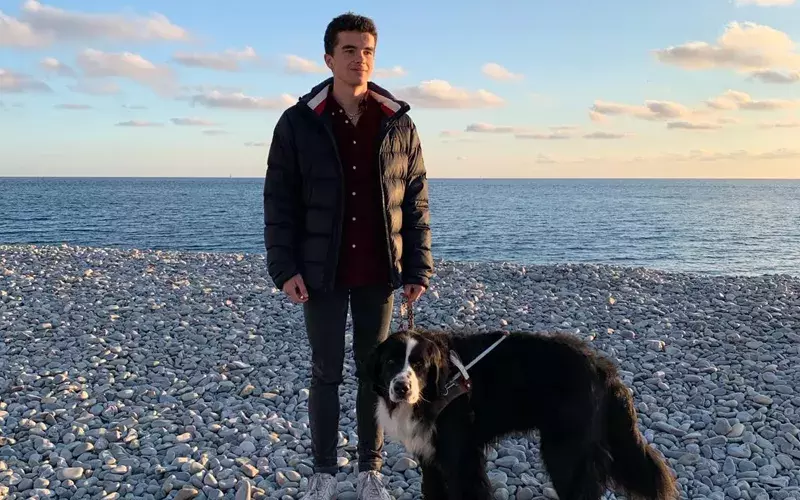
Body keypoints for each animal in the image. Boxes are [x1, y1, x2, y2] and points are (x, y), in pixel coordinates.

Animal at [366, 328, 680, 500]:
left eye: (419, 365)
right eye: (391, 362)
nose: (402, 387)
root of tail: (601, 365)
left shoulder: (460, 457)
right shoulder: (430, 455)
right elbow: (432, 490)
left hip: (565, 449)